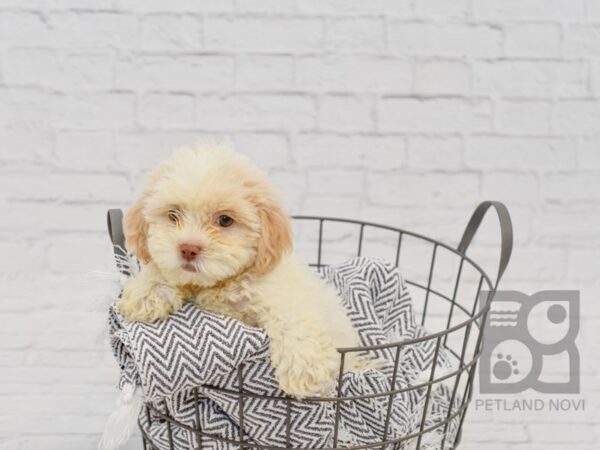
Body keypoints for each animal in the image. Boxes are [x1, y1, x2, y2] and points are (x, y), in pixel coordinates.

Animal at [115, 144, 364, 398]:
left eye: (225, 220)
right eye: (173, 215)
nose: (188, 249)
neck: (223, 282)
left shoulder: (277, 293)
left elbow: (291, 318)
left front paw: (305, 368)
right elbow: (160, 268)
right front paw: (147, 292)